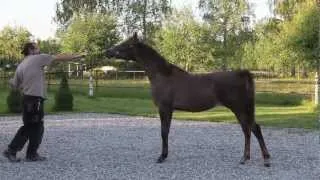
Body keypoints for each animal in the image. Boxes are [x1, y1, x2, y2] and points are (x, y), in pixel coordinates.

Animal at [105, 32, 270, 166]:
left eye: (126, 44)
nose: (108, 52)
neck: (162, 75)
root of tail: (242, 74)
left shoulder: (165, 108)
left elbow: (164, 132)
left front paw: (161, 157)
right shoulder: (169, 109)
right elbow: (166, 131)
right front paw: (164, 155)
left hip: (239, 108)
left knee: (252, 129)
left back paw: (263, 159)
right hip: (243, 109)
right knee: (249, 129)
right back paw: (247, 158)